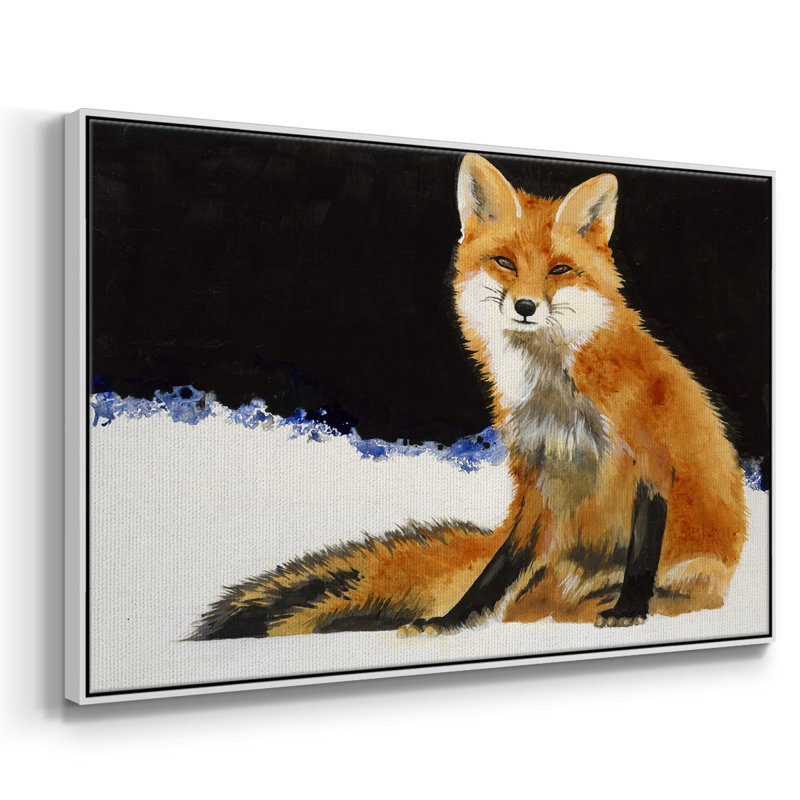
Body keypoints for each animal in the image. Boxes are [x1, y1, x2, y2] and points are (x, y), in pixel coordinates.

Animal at [190, 154, 747, 640]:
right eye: (504, 262)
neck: (557, 394)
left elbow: (641, 554)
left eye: (559, 270)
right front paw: (455, 619)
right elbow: (498, 567)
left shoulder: (650, 459)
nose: (525, 306)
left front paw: (630, 608)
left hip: (695, 570)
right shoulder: (536, 476)